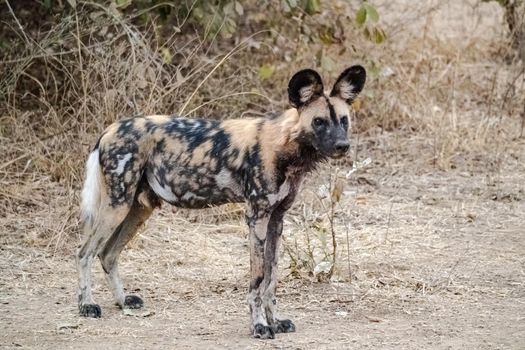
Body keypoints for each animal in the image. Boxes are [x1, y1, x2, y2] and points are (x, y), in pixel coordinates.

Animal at [77, 65, 364, 340]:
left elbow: (272, 278)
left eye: (343, 120)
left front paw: (276, 321)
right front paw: (259, 326)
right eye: (319, 122)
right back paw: (86, 305)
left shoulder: (276, 219)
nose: (342, 145)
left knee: (107, 254)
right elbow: (258, 278)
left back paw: (122, 300)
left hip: (138, 209)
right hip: (117, 205)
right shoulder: (257, 216)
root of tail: (110, 129)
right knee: (85, 252)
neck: (287, 147)